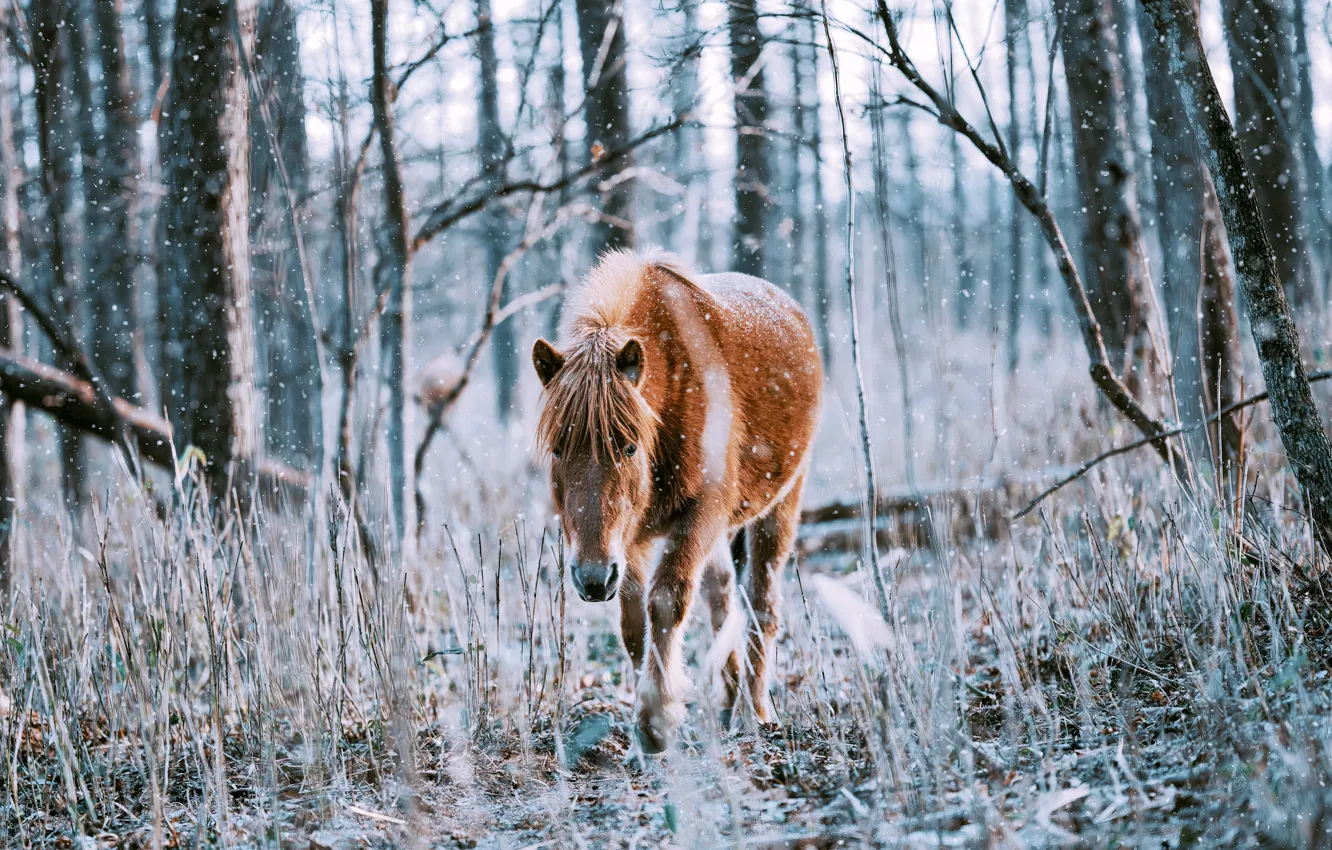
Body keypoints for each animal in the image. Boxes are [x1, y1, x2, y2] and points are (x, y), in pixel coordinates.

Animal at [531, 248, 822, 752]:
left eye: (629, 447)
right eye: (558, 449)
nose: (591, 579)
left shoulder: (700, 513)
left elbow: (666, 601)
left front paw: (655, 721)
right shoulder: (628, 542)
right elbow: (633, 624)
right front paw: (646, 725)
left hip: (781, 504)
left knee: (761, 604)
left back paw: (753, 713)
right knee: (723, 595)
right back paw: (729, 698)